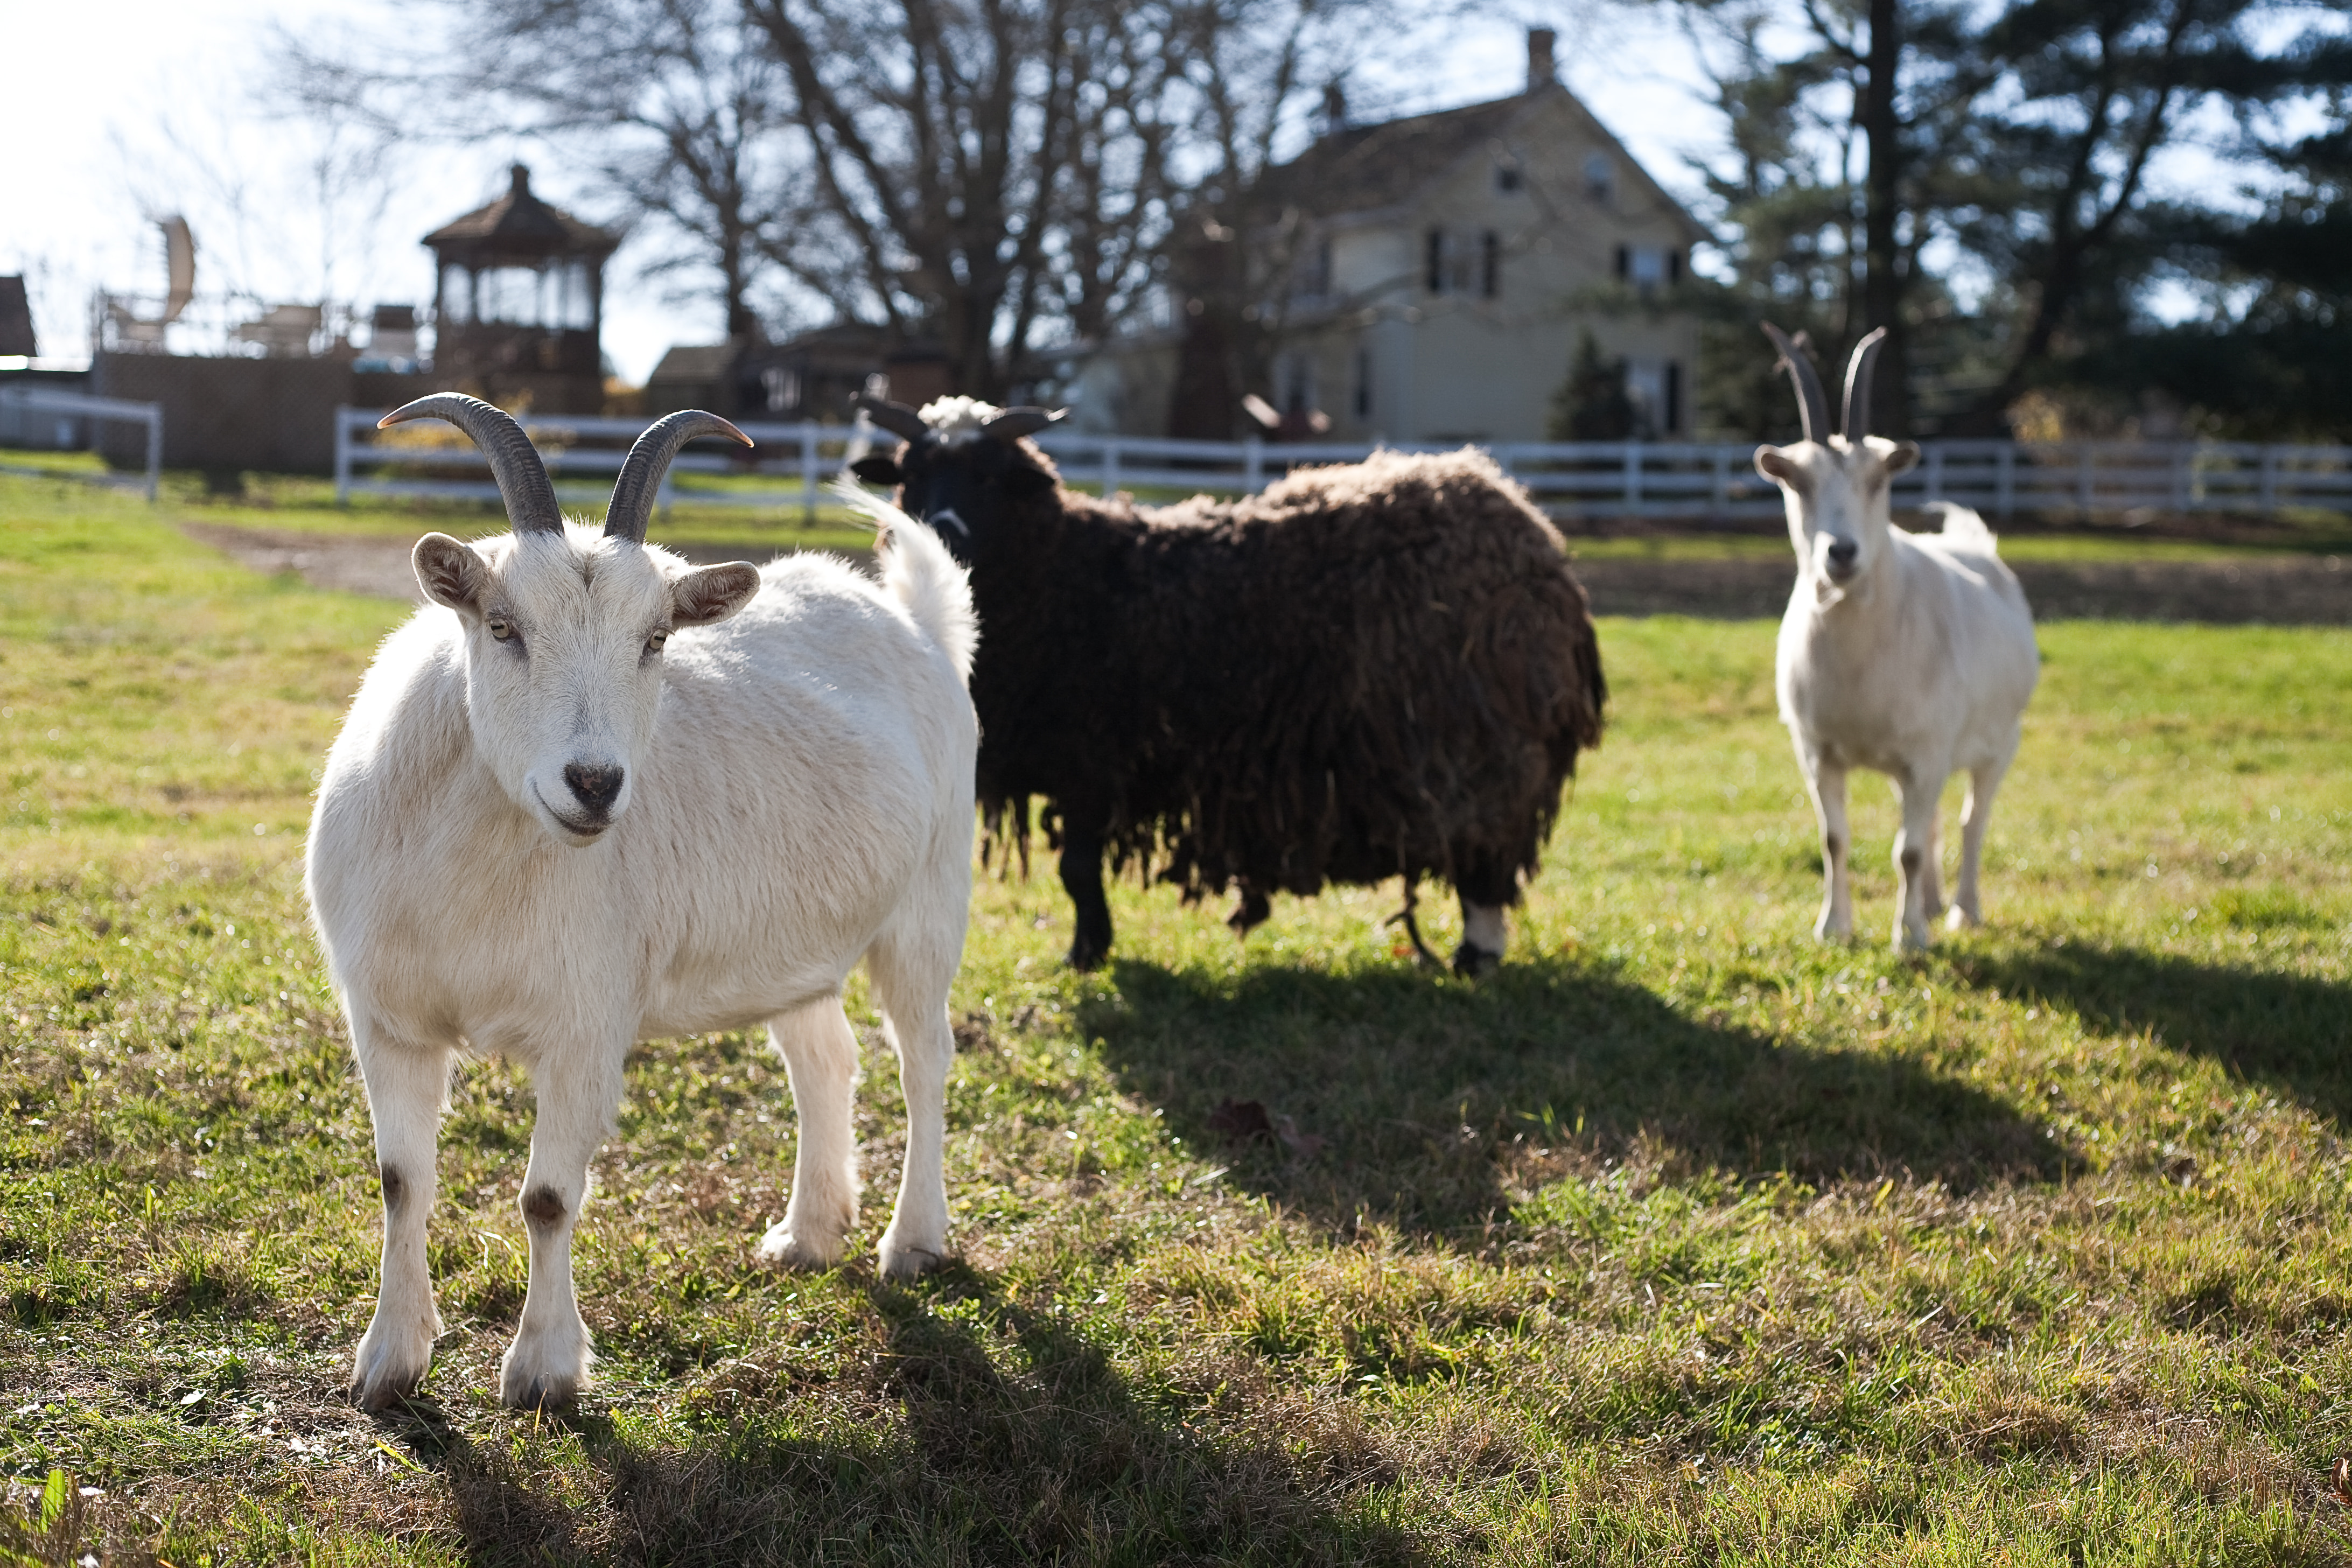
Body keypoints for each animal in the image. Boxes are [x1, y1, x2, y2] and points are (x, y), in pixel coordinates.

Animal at [305, 395, 978, 1410]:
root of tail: (918, 627)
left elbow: (547, 1198)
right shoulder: (388, 1020)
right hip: (792, 944)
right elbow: (400, 1182)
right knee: (826, 1059)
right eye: (502, 624)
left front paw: (543, 1371)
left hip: (929, 902)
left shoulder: (586, 1024)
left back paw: (913, 1240)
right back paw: (807, 1234)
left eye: (655, 638)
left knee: (924, 1061)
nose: (593, 783)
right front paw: (388, 1362)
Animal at [850, 394, 1606, 976]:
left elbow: (1077, 867)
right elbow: (1078, 869)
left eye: (992, 475)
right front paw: (1092, 948)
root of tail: (1533, 534)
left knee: (1484, 856)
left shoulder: (1095, 757)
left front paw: (1087, 953)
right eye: (910, 474)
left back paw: (1475, 956)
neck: (1070, 578)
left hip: (1479, 745)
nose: (938, 536)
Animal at [1754, 327, 2039, 948]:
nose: (1841, 553)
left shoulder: (1927, 754)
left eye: (1879, 478)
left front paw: (1908, 940)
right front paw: (1834, 928)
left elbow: (1906, 850)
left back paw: (1961, 911)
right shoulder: (1818, 752)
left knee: (1971, 820)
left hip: (1999, 743)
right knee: (1931, 823)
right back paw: (1930, 903)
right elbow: (1836, 840)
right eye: (1798, 482)